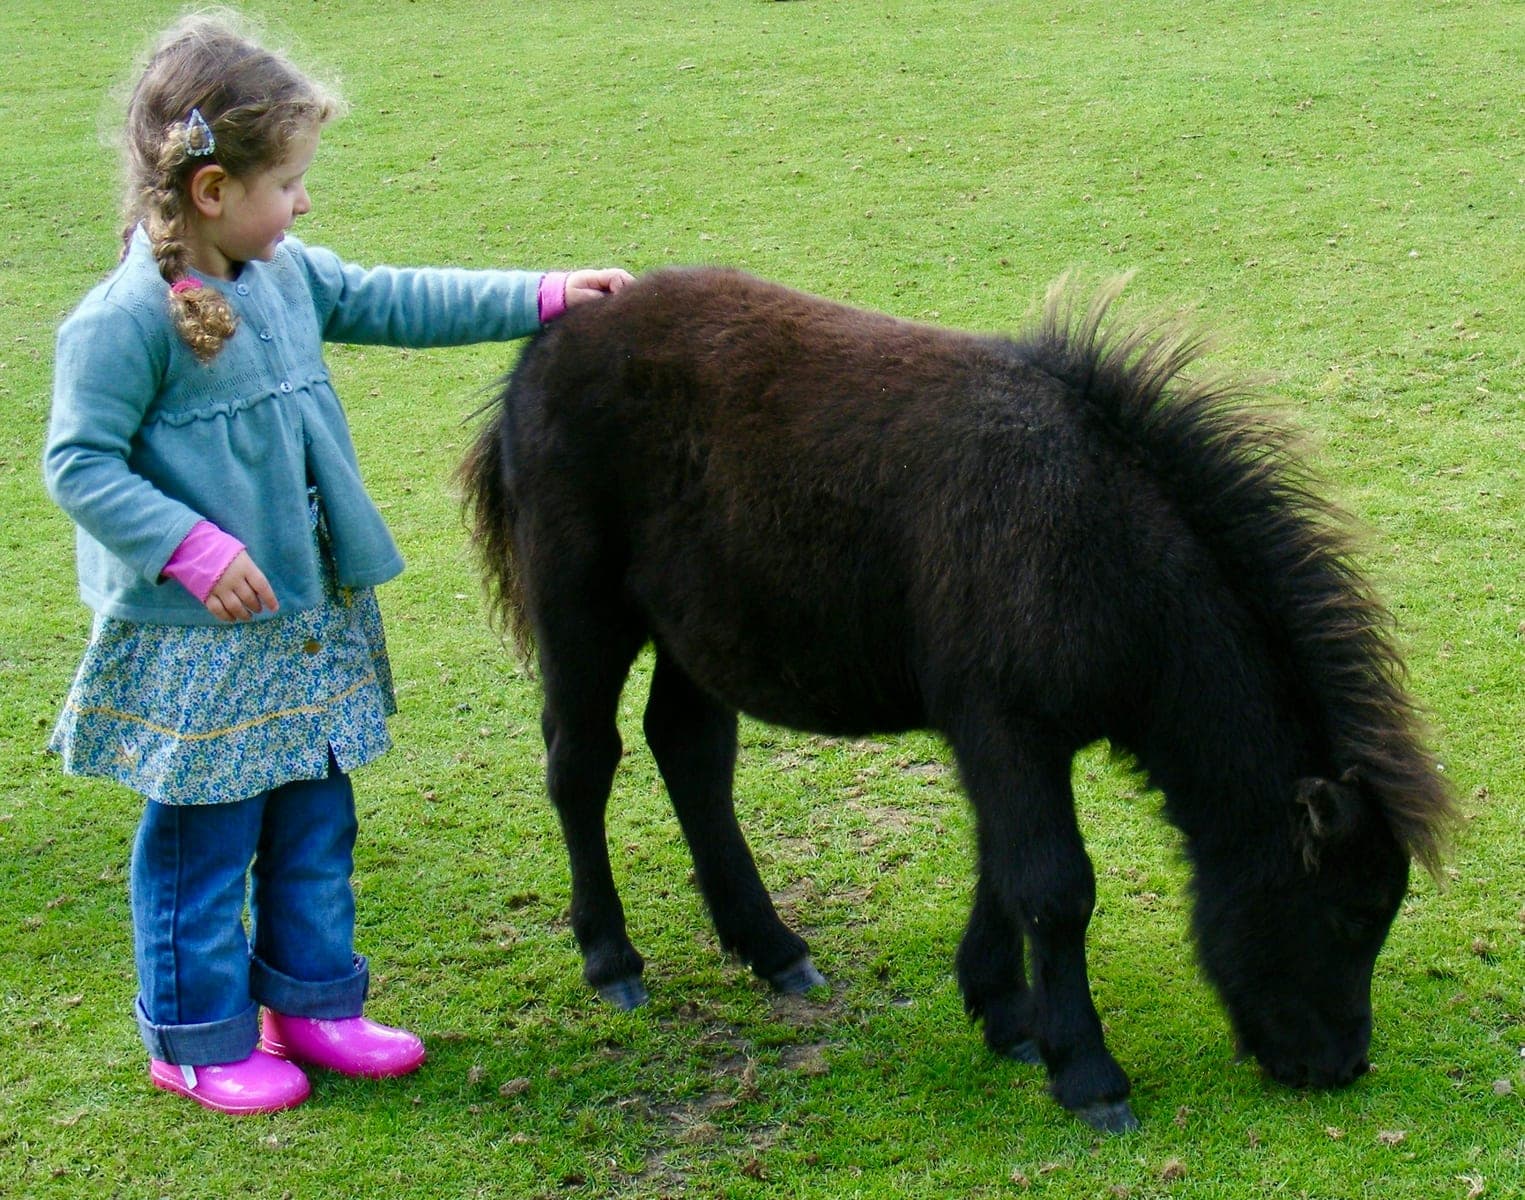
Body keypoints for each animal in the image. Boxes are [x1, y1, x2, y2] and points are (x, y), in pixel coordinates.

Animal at [459, 267, 1454, 1132]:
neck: (1100, 543)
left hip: (694, 632)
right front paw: (1087, 1076)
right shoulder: (1006, 727)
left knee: (690, 749)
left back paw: (773, 948)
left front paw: (1003, 1012)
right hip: (582, 609)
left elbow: (1001, 867)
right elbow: (1054, 887)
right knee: (582, 761)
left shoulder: (1004, 737)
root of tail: (545, 346)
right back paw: (611, 958)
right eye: (1351, 911)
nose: (1339, 1065)